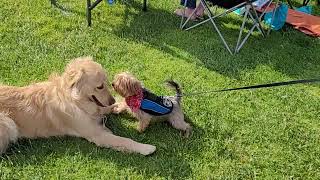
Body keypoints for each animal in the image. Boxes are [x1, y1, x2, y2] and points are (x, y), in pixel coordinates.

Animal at [0, 57, 156, 155]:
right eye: (100, 86)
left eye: (108, 83)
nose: (111, 101)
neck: (76, 101)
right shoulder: (97, 135)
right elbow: (124, 140)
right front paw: (146, 148)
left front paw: (119, 105)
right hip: (8, 123)